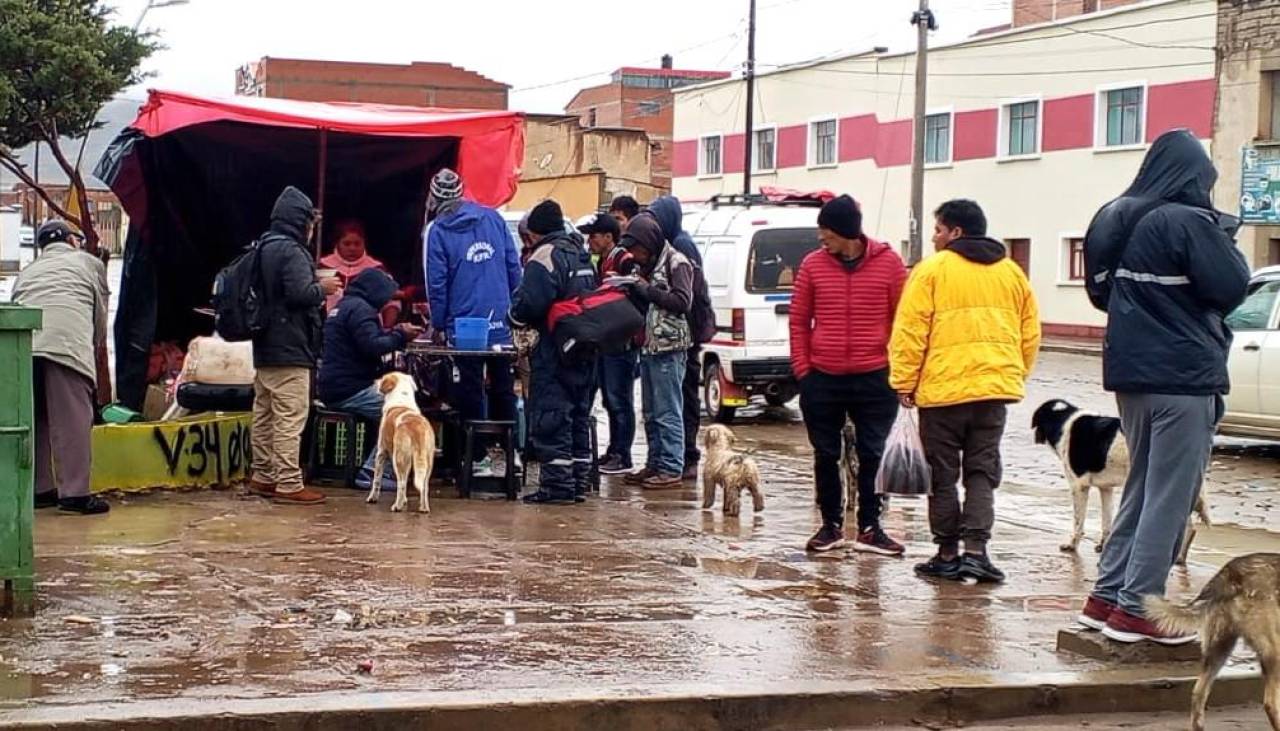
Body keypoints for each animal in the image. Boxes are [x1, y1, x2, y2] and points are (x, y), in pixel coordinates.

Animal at [366, 371, 435, 514]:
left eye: (382, 378)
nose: (375, 381)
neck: (401, 400)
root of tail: (417, 427)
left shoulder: (381, 453)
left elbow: (376, 479)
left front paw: (372, 498)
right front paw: (405, 501)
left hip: (399, 459)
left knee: (401, 483)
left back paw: (397, 506)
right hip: (427, 462)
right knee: (424, 486)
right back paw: (423, 508)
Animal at [1029, 396, 1208, 563]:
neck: (1064, 421)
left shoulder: (1078, 486)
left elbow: (1078, 522)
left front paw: (1072, 545)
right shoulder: (1106, 488)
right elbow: (1106, 522)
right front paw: (1103, 546)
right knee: (1190, 527)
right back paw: (1180, 558)